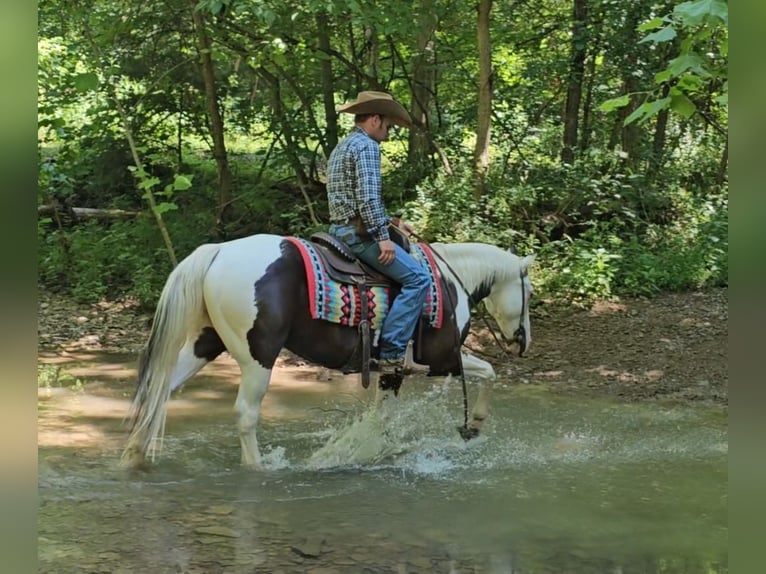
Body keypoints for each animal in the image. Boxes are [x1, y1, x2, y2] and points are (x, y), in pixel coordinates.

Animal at [122, 233, 535, 470]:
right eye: (529, 292)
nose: (524, 340)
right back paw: (257, 469)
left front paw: (371, 451)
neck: (450, 282)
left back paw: (136, 455)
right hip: (258, 357)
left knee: (160, 390)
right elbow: (488, 372)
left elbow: (383, 417)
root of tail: (219, 251)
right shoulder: (442, 360)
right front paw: (474, 423)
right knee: (245, 414)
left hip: (206, 343)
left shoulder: (392, 370)